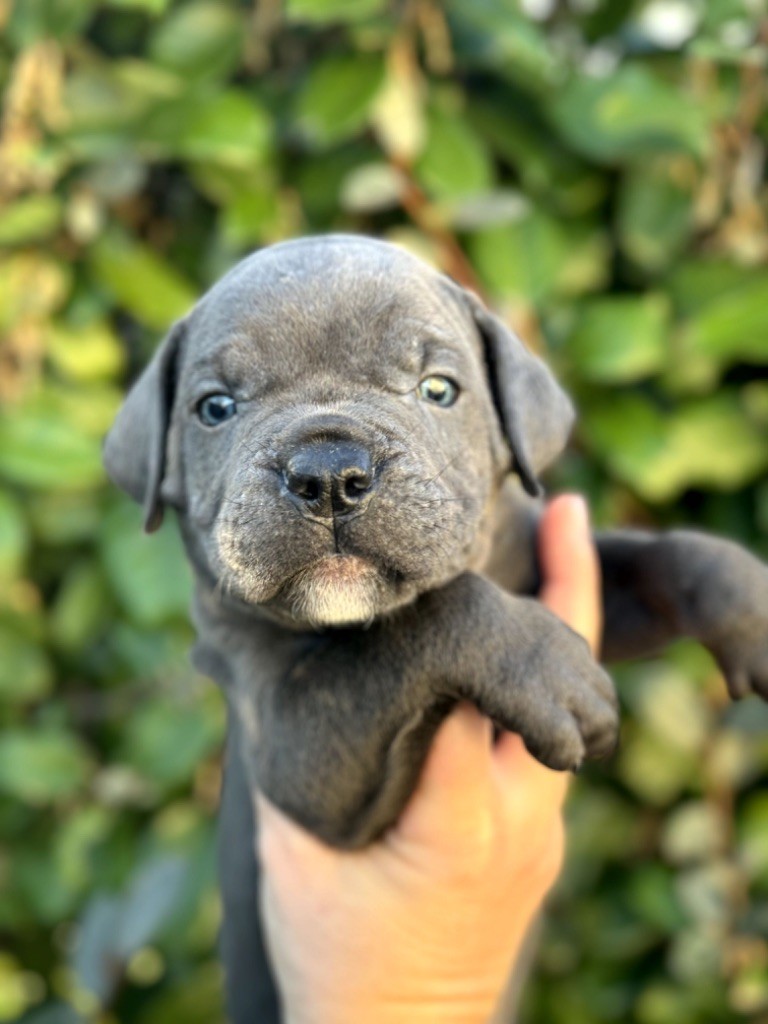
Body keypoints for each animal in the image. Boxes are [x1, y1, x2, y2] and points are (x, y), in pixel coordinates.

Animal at [103, 234, 768, 1024]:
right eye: (215, 407)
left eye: (439, 390)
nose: (328, 472)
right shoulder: (300, 757)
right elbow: (424, 616)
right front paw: (542, 668)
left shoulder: (569, 578)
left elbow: (668, 558)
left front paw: (752, 608)